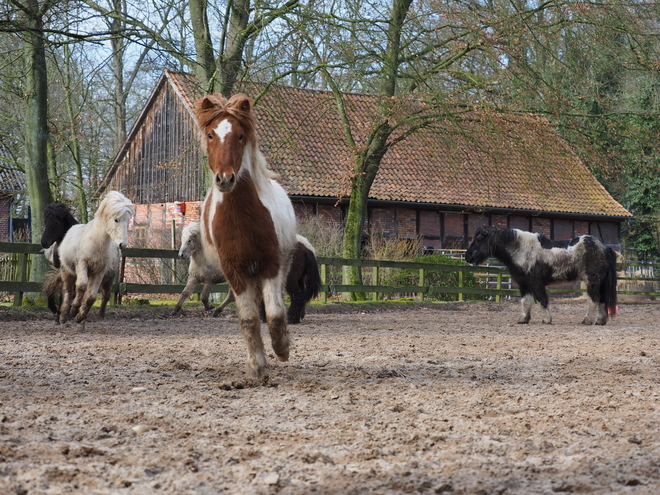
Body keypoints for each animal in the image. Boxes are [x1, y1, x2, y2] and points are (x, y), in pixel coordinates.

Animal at [57, 192, 135, 328]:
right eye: (116, 219)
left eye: (128, 220)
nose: (123, 244)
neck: (95, 243)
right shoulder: (82, 264)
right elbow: (81, 286)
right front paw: (74, 310)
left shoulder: (99, 271)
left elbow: (91, 297)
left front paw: (79, 316)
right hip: (67, 272)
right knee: (67, 291)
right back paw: (64, 316)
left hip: (108, 278)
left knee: (105, 294)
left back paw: (95, 316)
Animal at [193, 93, 296, 380]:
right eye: (210, 135)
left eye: (240, 135)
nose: (225, 179)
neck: (242, 219)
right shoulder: (235, 271)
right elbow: (248, 319)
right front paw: (255, 365)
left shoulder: (270, 265)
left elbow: (274, 315)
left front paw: (282, 349)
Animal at [464, 228, 620, 326]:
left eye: (479, 239)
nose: (467, 256)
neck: (521, 250)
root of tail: (605, 248)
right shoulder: (523, 283)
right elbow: (526, 301)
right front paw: (524, 319)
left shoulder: (535, 282)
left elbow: (541, 299)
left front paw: (546, 319)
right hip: (600, 282)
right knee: (602, 300)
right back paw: (600, 321)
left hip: (592, 281)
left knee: (593, 299)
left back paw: (587, 320)